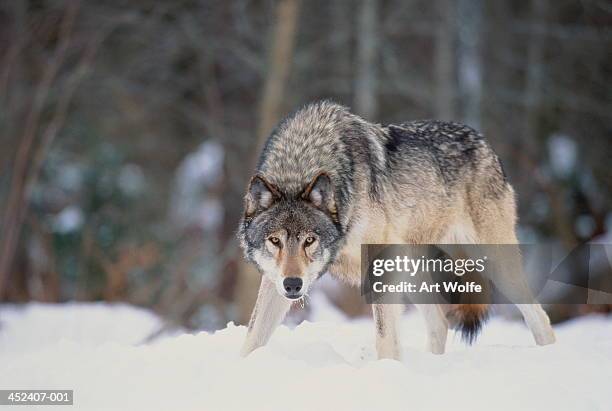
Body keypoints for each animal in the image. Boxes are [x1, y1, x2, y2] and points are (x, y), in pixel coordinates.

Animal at [238, 100, 556, 360]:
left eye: (309, 240)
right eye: (275, 241)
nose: (293, 285)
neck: (302, 162)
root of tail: (484, 142)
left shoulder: (380, 267)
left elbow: (384, 337)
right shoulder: (274, 280)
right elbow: (252, 337)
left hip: (496, 264)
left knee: (541, 317)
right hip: (413, 273)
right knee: (440, 323)